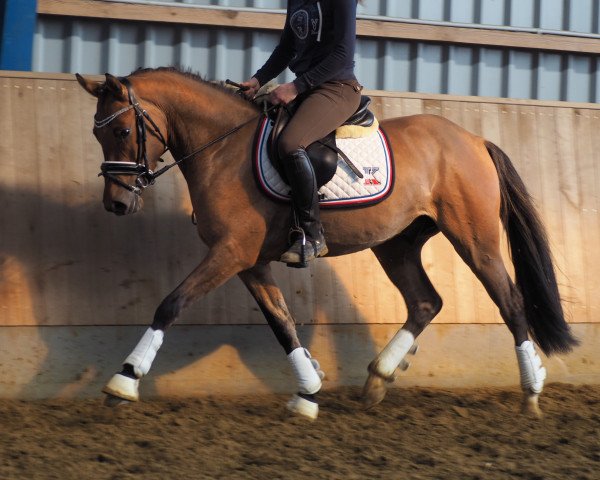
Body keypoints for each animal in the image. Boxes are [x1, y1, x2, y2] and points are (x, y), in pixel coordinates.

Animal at [76, 68, 576, 420]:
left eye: (122, 131)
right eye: (97, 133)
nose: (117, 203)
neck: (222, 149)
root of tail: (473, 139)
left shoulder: (230, 253)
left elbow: (171, 304)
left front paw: (124, 380)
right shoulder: (248, 261)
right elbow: (282, 324)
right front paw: (308, 392)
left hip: (475, 238)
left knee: (510, 302)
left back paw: (532, 390)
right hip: (395, 243)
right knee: (425, 302)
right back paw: (379, 378)